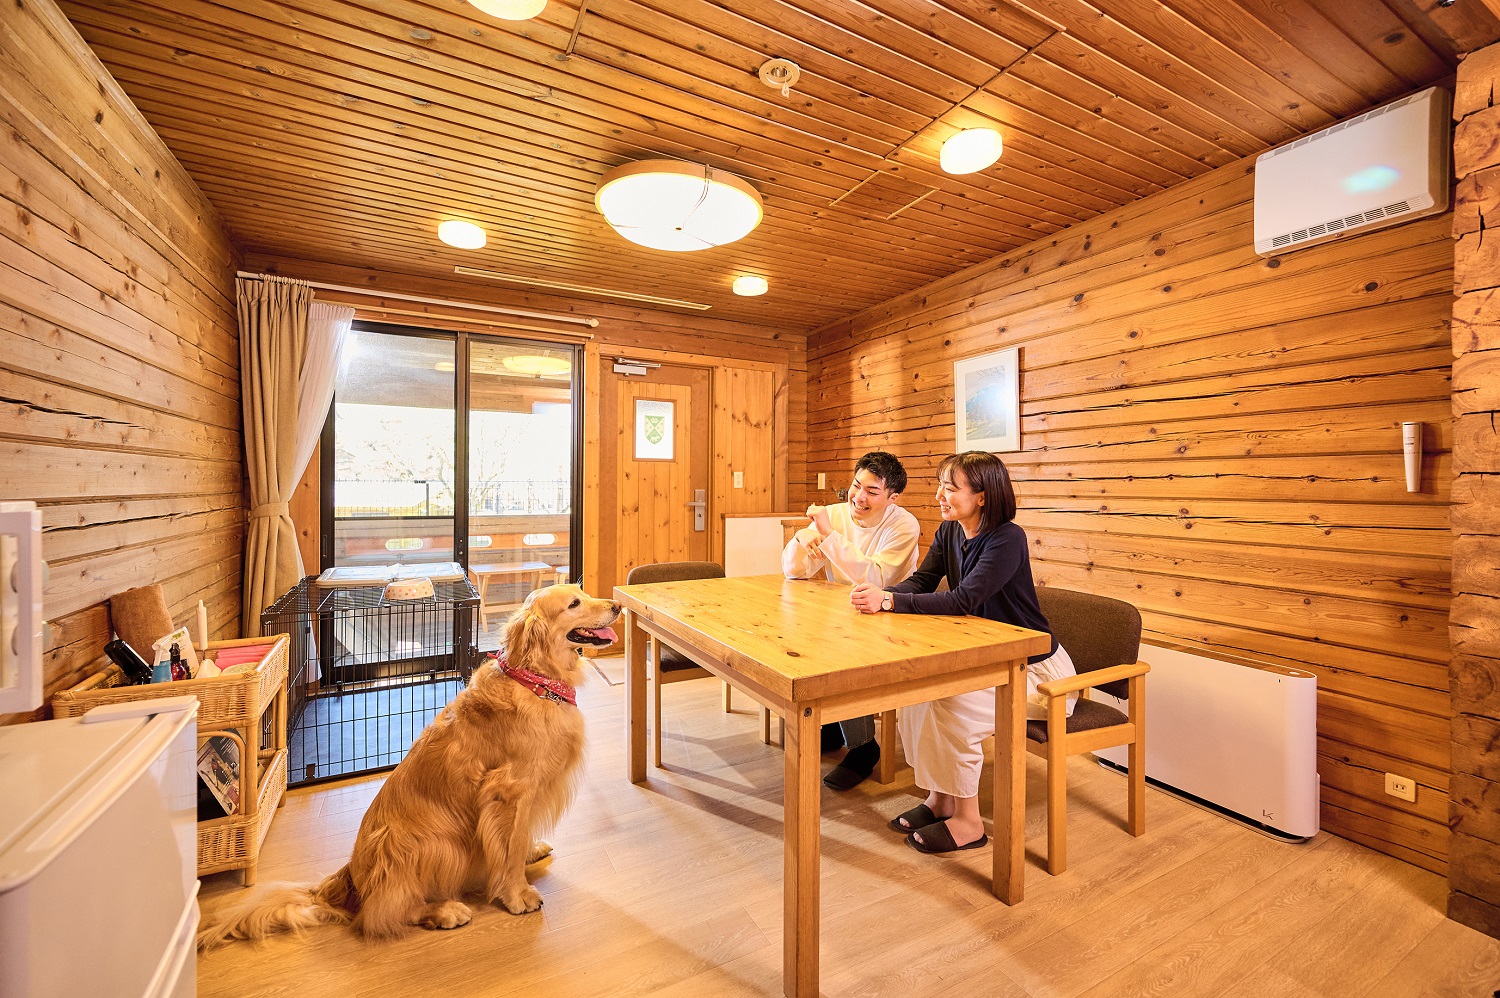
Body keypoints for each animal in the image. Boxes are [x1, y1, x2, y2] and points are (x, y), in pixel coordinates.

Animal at [197, 584, 621, 948]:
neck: (535, 677)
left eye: (582, 592)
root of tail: (350, 877)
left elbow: (517, 839)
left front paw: (529, 852)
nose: (617, 605)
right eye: (574, 604)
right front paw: (516, 894)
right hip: (439, 844)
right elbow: (508, 847)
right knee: (384, 912)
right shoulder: (508, 790)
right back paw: (445, 912)